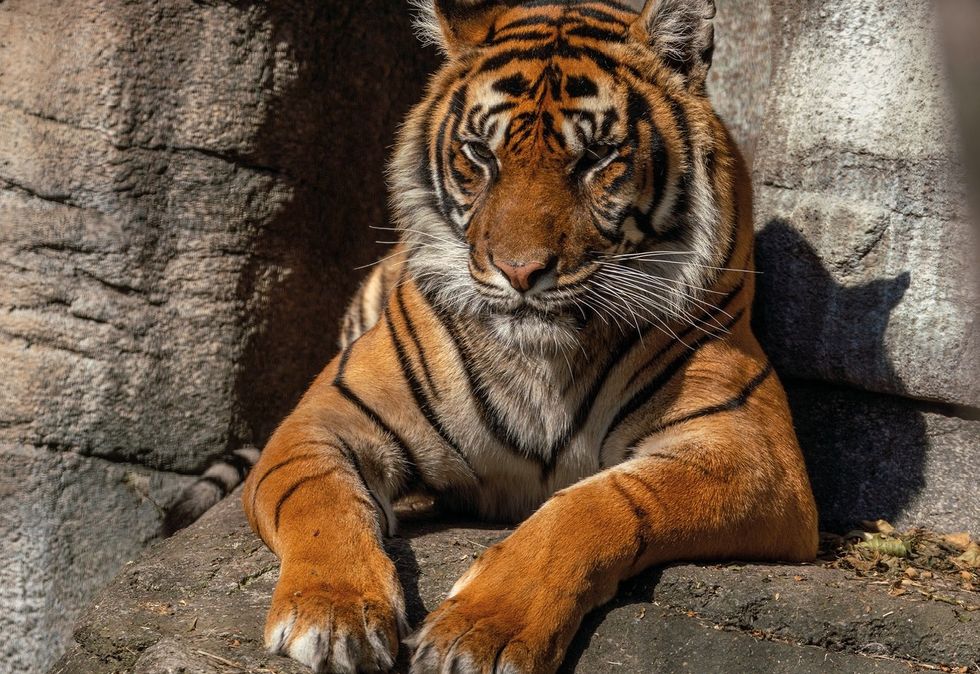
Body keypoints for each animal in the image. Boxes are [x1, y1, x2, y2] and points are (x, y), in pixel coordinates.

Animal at [241, 0, 819, 672]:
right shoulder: (325, 417)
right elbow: (318, 500)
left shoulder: (753, 452)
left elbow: (594, 507)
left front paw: (481, 631)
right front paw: (333, 612)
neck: (540, 357)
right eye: (479, 154)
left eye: (596, 157)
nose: (519, 272)